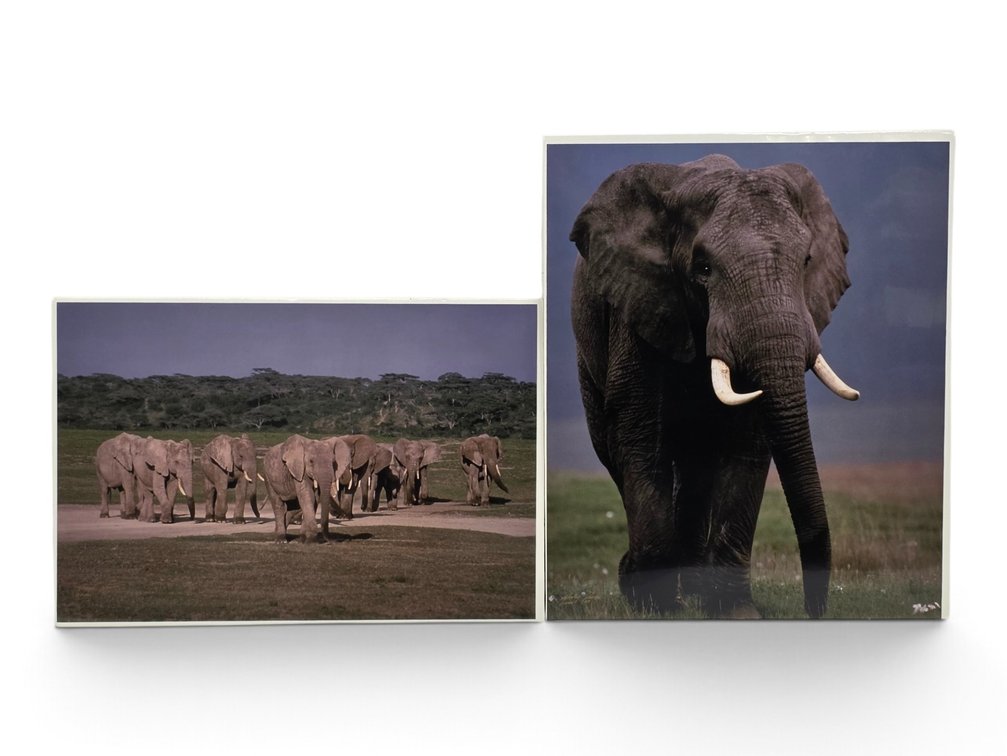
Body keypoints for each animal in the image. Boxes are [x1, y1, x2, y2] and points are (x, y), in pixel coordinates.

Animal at [569, 155, 859, 619]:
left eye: (806, 261)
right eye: (702, 269)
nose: (815, 612)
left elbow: (748, 444)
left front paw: (735, 612)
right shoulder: (641, 307)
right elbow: (640, 437)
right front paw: (657, 609)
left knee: (696, 468)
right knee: (615, 454)